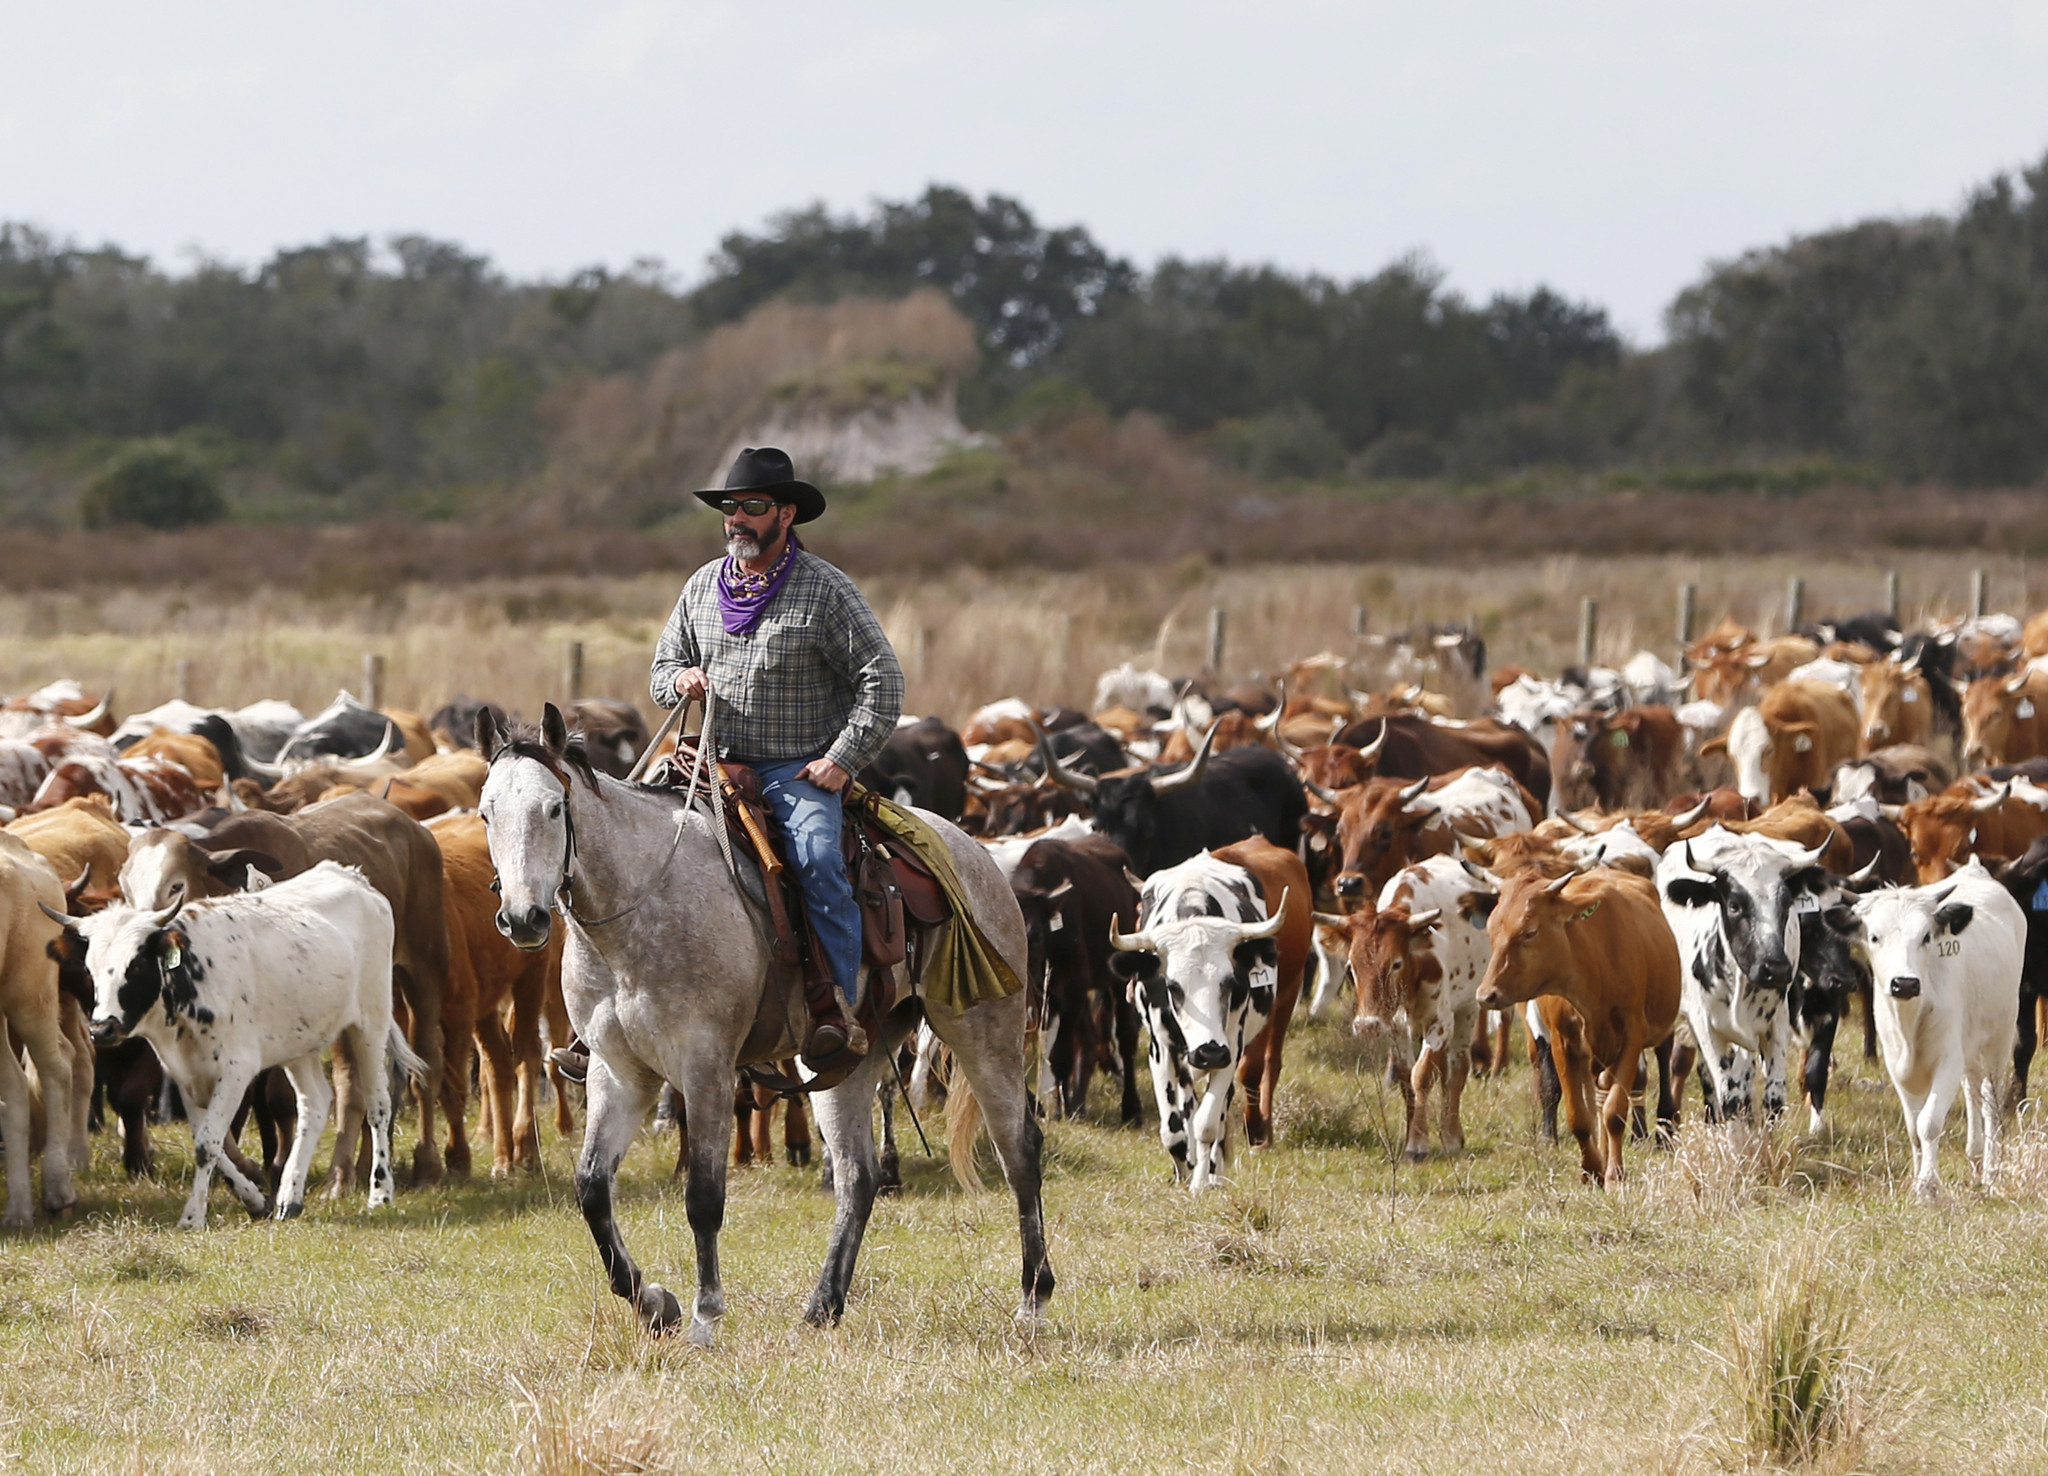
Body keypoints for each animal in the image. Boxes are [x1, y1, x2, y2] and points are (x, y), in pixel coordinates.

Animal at [479, 708, 1056, 1342]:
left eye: (553, 808)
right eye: (485, 812)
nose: (522, 918)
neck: (641, 902)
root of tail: (976, 854)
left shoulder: (705, 1068)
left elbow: (704, 1198)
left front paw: (705, 1316)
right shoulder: (619, 1072)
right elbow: (591, 1190)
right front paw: (654, 1303)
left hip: (984, 1032)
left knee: (1018, 1150)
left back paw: (1033, 1296)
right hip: (844, 1061)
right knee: (857, 1176)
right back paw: (823, 1305)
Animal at [1105, 851, 1277, 1187]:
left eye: (1230, 982)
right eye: (1172, 985)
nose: (1209, 1051)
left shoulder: (1231, 1047)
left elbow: (1206, 1124)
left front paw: (1201, 1183)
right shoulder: (1161, 1050)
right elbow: (1174, 1131)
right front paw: (1182, 1175)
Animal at [1474, 867, 1679, 1179]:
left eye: (1530, 932)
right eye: (1491, 929)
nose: (1486, 995)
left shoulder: (1633, 1034)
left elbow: (1615, 1110)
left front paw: (1614, 1172)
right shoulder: (1562, 1040)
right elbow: (1579, 1116)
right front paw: (1593, 1168)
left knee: (1661, 1060)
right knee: (1598, 1093)